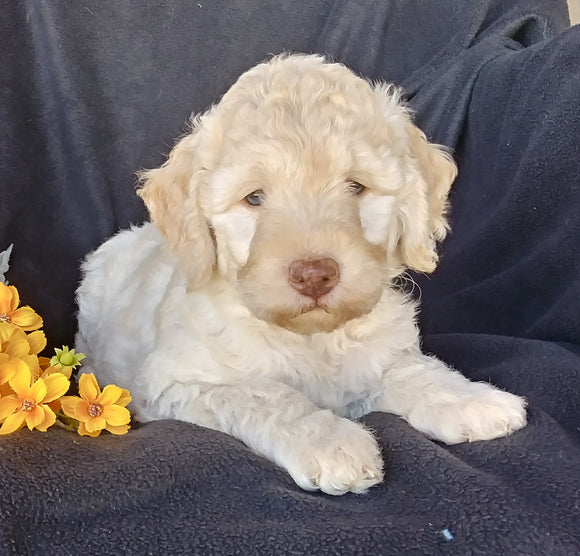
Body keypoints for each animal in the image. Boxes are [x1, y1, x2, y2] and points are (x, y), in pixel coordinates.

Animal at [76, 53, 524, 496]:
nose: (314, 275)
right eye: (254, 197)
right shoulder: (178, 380)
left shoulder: (381, 352)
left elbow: (412, 370)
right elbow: (264, 393)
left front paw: (468, 399)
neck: (312, 339)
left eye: (356, 187)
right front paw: (331, 443)